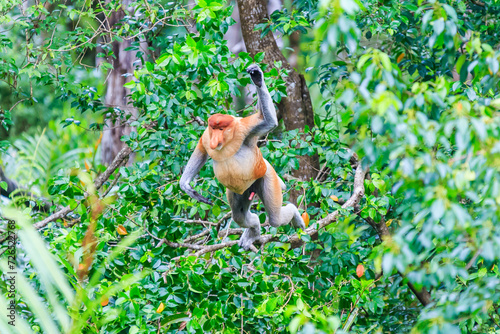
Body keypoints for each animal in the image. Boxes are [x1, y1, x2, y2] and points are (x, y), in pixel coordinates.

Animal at [180, 64, 304, 249]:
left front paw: (258, 78)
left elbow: (268, 122)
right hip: (239, 190)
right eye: (213, 128)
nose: (215, 139)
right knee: (239, 215)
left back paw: (294, 215)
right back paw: (254, 231)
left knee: (275, 217)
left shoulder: (243, 128)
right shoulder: (206, 136)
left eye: (221, 129)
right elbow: (201, 149)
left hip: (267, 176)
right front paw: (186, 187)